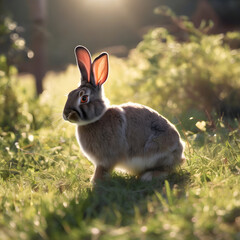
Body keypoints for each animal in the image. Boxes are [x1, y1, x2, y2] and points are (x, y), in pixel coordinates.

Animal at [62, 46, 185, 183]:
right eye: (69, 94)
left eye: (84, 98)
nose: (66, 115)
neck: (96, 119)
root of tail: (179, 151)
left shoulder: (106, 159)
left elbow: (102, 170)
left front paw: (95, 182)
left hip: (155, 151)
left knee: (167, 169)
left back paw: (148, 176)